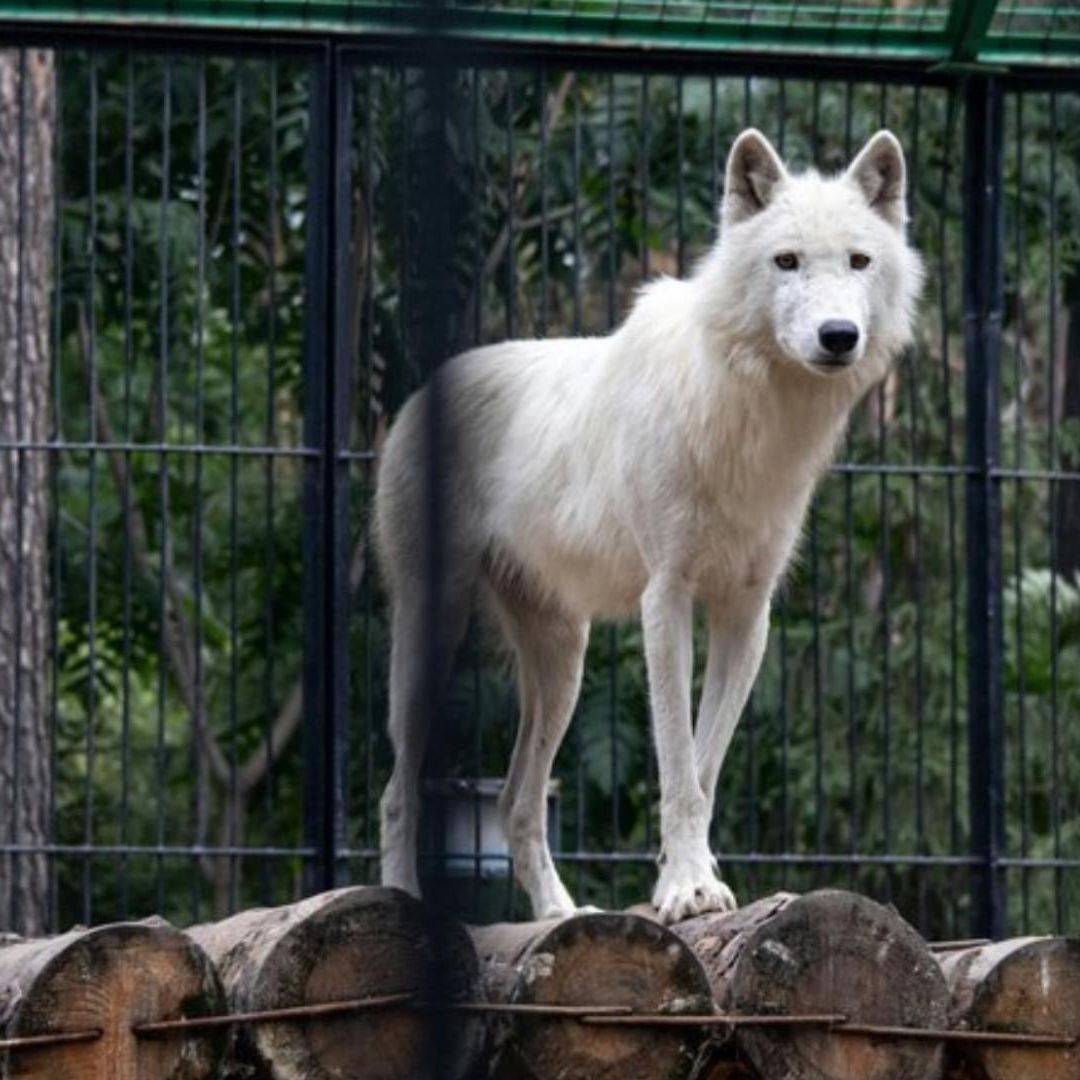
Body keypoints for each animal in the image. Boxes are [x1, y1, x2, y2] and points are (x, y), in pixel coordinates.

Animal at [374, 127, 923, 924]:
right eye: (786, 261)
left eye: (859, 261)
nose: (838, 336)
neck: (753, 419)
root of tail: (421, 394)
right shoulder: (664, 599)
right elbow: (677, 761)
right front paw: (687, 889)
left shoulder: (746, 613)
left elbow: (703, 767)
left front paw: (687, 879)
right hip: (433, 630)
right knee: (397, 791)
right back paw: (401, 904)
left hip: (563, 662)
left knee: (515, 804)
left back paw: (563, 916)